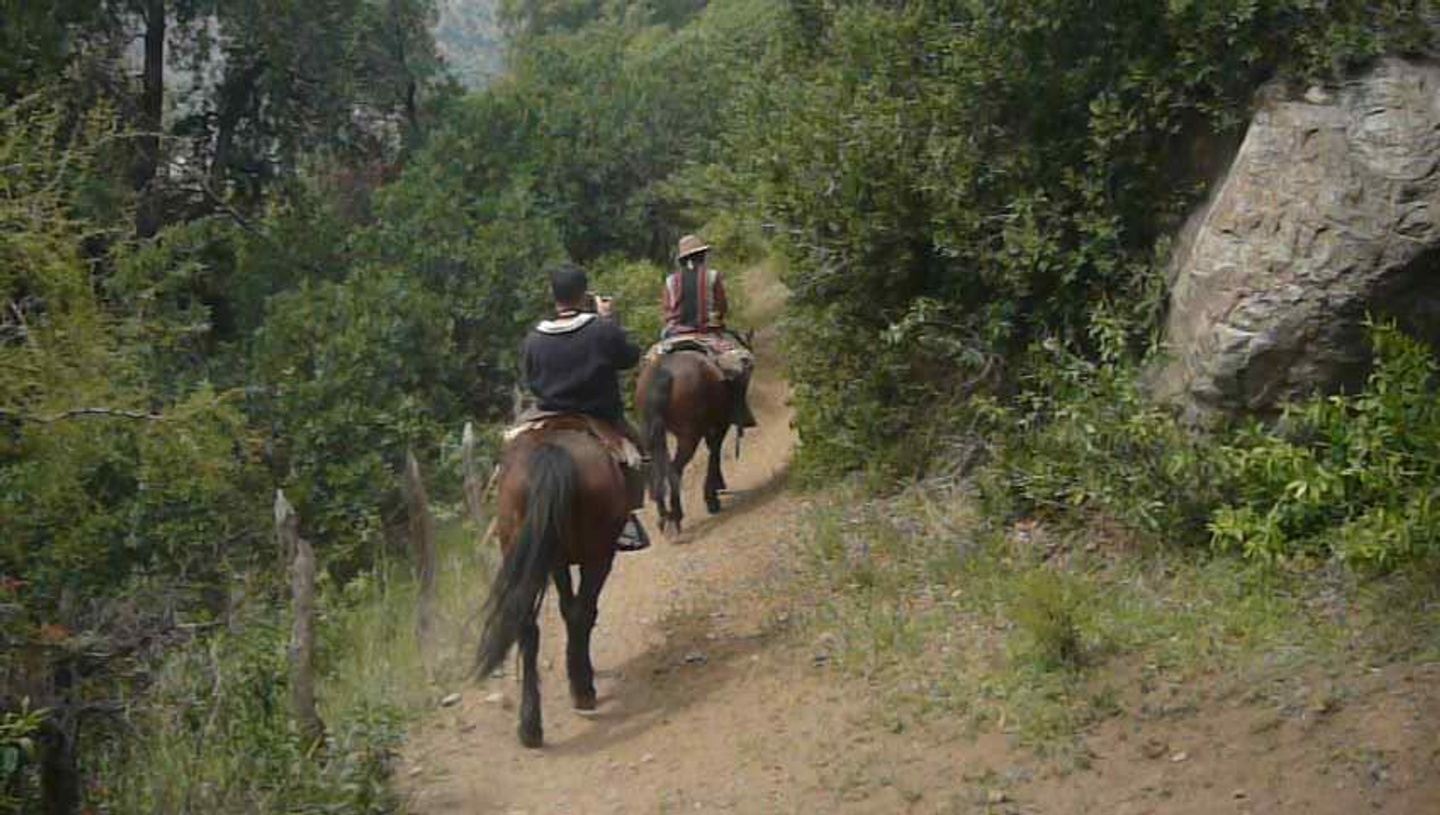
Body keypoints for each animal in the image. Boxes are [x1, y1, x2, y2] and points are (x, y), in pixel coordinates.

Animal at [475, 426, 627, 748]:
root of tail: (551, 452)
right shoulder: (592, 557)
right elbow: (580, 611)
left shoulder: (554, 560)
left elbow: (566, 609)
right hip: (598, 553)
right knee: (582, 612)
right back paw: (583, 691)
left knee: (527, 625)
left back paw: (530, 726)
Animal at [639, 351, 731, 535]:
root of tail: (663, 371)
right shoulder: (718, 425)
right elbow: (714, 454)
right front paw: (712, 498)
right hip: (689, 436)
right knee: (675, 469)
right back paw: (676, 515)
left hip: (651, 434)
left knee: (656, 469)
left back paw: (663, 516)